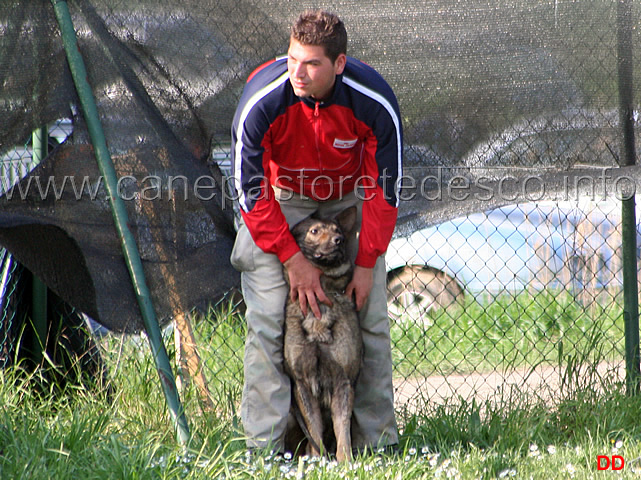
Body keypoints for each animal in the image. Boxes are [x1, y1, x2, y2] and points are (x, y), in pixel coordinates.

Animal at [282, 206, 362, 462]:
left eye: (338, 231)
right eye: (314, 231)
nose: (339, 240)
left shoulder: (343, 383)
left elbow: (341, 428)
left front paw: (345, 461)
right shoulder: (302, 385)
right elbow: (314, 429)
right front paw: (318, 461)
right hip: (289, 414)